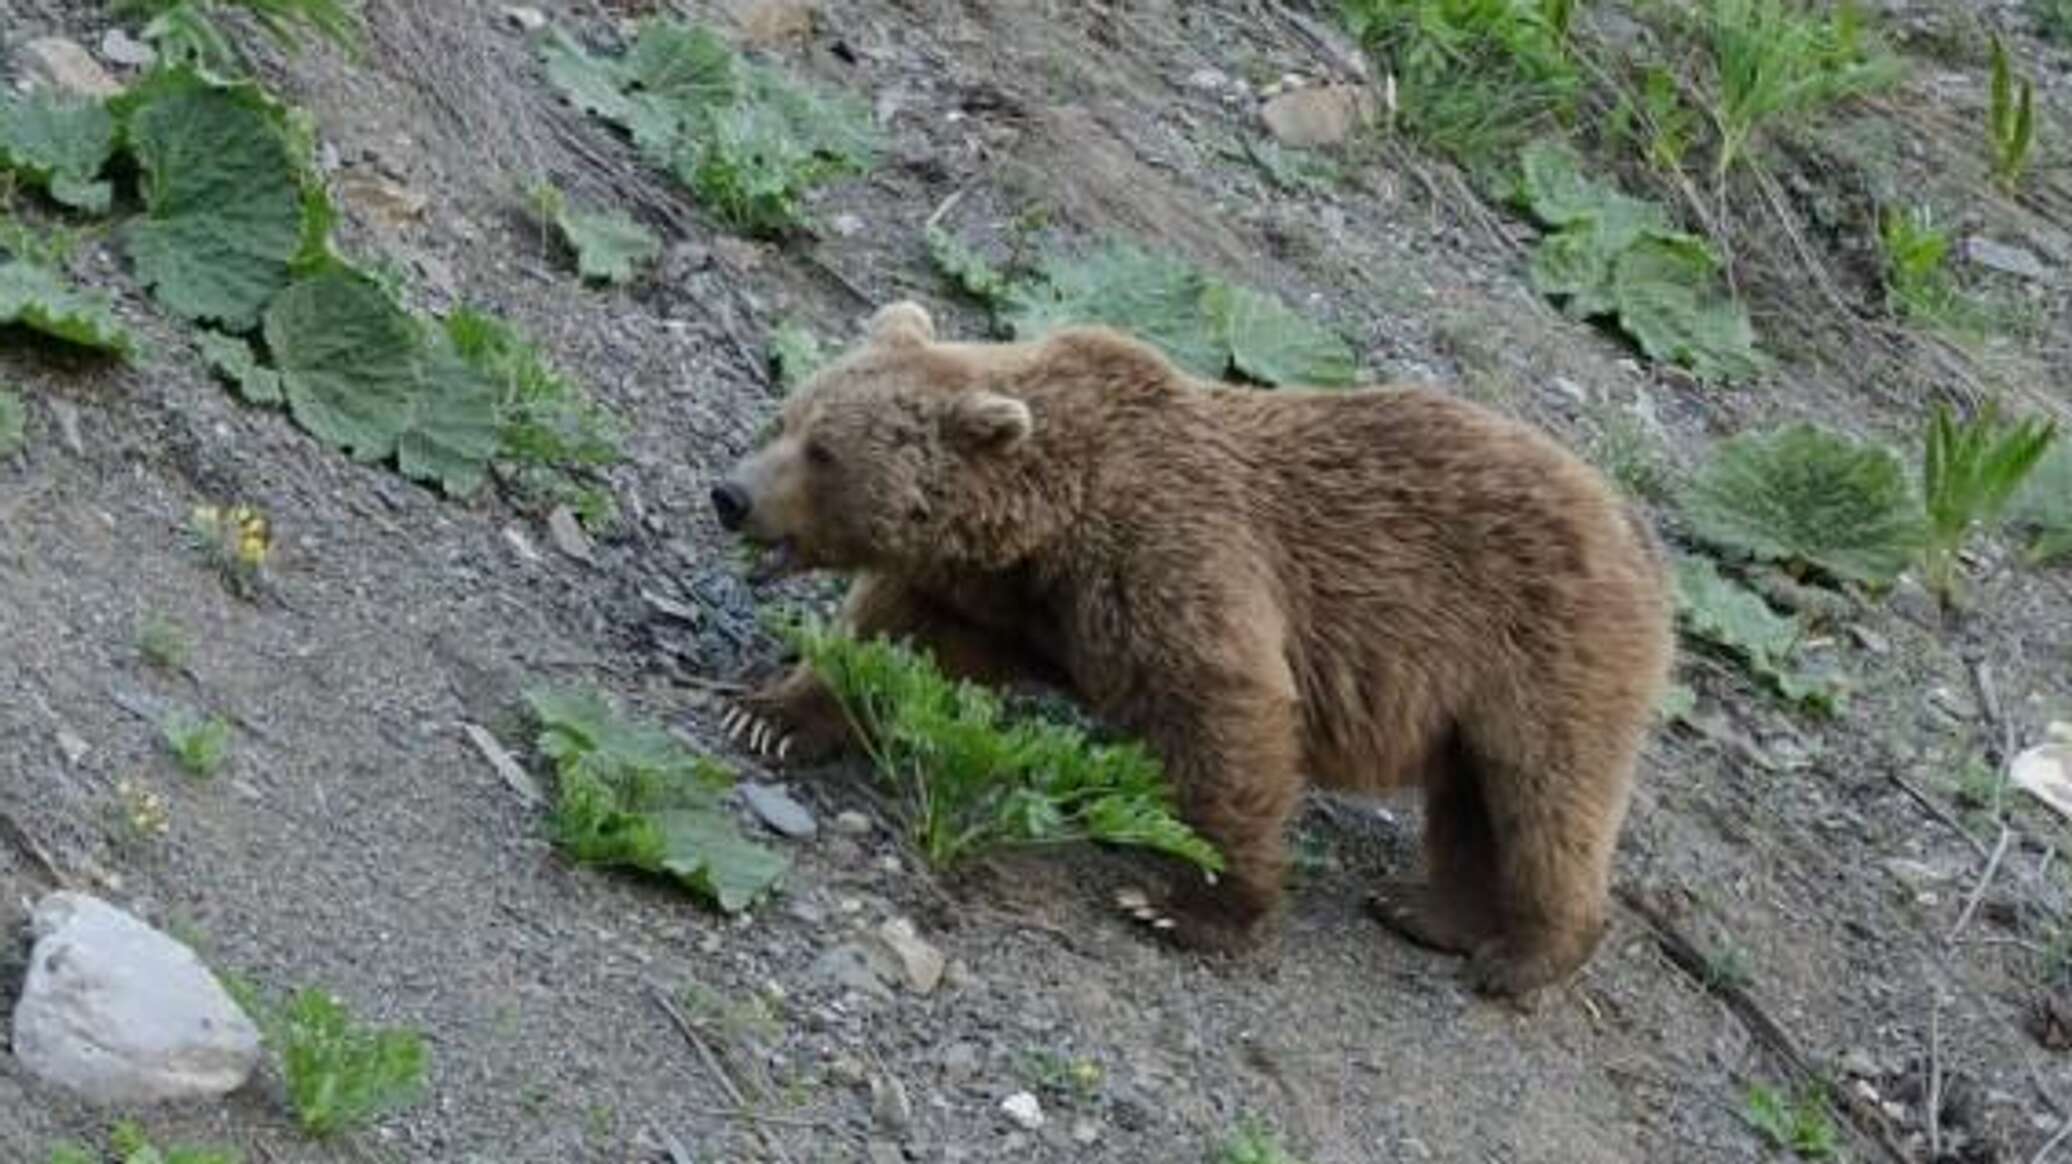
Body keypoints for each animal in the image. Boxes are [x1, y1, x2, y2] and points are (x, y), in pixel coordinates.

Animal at [708, 296, 1665, 985]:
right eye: (788, 416)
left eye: (825, 452)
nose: (730, 494)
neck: (1043, 524)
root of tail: (1636, 530)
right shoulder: (994, 596)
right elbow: (884, 639)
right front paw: (770, 714)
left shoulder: (1167, 556)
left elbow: (1228, 715)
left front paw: (1185, 905)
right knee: (1472, 799)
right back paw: (1426, 908)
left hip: (1541, 646)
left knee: (1544, 797)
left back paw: (1523, 955)